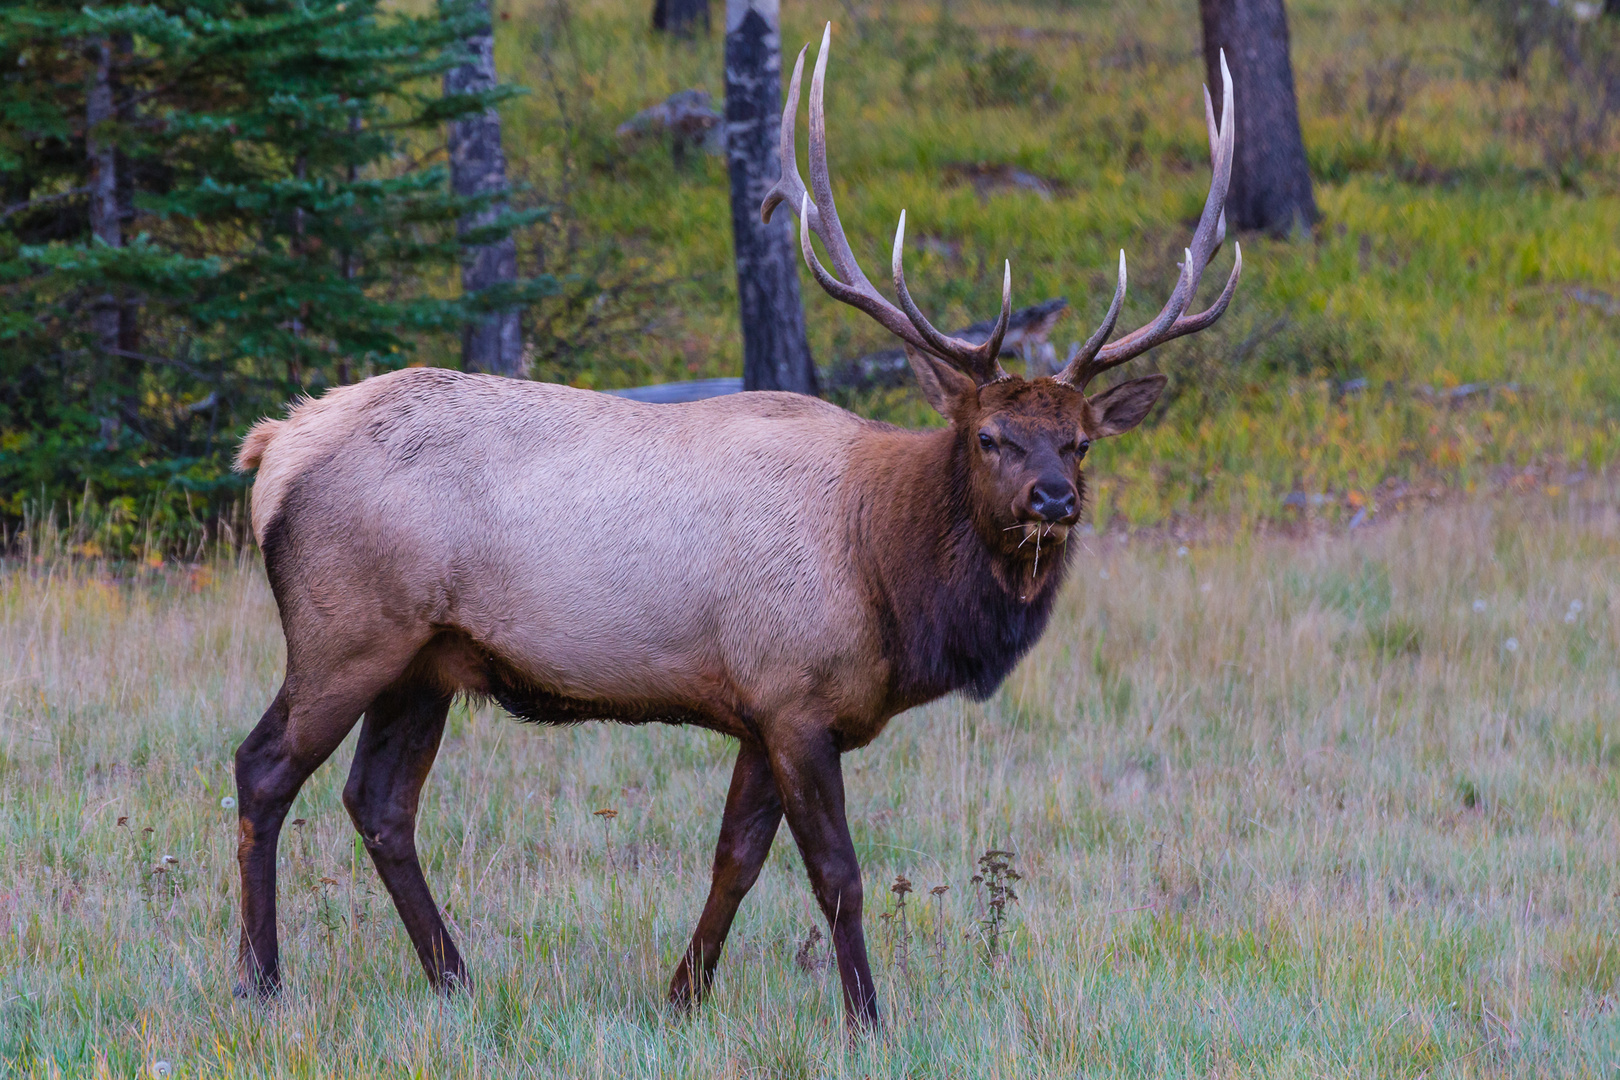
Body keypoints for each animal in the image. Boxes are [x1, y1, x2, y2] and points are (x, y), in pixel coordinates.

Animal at [228, 27, 1237, 1029]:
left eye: (1080, 442)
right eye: (989, 436)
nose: (1053, 502)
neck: (887, 575)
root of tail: (273, 445)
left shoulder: (759, 709)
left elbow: (735, 862)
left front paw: (681, 996)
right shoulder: (795, 699)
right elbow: (838, 876)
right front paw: (867, 1019)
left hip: (427, 661)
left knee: (380, 803)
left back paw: (455, 977)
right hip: (346, 632)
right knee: (263, 768)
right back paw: (261, 978)